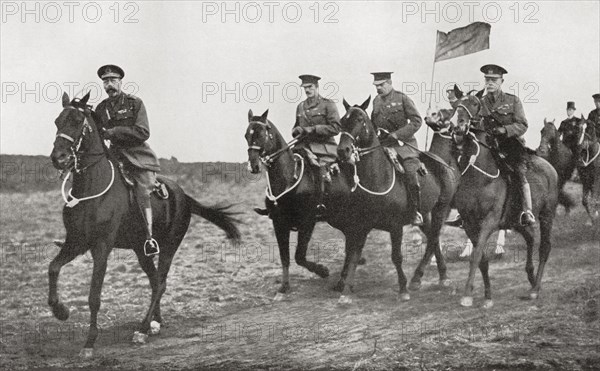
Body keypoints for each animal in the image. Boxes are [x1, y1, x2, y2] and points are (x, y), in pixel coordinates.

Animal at [49, 93, 240, 358]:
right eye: (57, 121)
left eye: (77, 121)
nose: (59, 158)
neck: (91, 188)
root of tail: (184, 195)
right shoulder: (75, 243)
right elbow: (53, 268)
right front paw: (60, 310)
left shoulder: (101, 248)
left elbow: (94, 296)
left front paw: (89, 342)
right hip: (141, 250)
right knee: (154, 281)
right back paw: (154, 323)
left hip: (169, 246)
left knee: (160, 283)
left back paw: (142, 329)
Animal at [336, 98, 452, 306]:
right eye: (342, 120)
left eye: (359, 119)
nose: (343, 150)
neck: (378, 178)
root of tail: (443, 163)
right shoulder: (361, 226)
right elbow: (354, 255)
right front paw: (346, 292)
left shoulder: (395, 226)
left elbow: (396, 257)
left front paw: (403, 289)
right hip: (425, 214)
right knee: (433, 238)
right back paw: (438, 276)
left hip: (441, 209)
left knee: (433, 239)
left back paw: (419, 278)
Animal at [450, 93, 556, 308]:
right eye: (456, 105)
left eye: (475, 103)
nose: (459, 127)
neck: (479, 177)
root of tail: (550, 166)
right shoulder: (469, 225)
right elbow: (482, 259)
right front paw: (488, 296)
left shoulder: (489, 222)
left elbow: (476, 256)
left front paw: (467, 295)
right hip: (516, 221)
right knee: (530, 238)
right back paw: (531, 277)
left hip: (547, 215)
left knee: (544, 247)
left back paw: (535, 289)